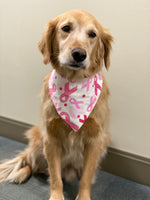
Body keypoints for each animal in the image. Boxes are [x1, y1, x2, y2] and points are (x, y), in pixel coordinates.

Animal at [0, 9, 112, 200]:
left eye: (93, 34)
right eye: (66, 28)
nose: (79, 54)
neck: (74, 83)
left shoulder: (95, 141)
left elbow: (86, 178)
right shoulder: (51, 139)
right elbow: (55, 176)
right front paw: (56, 196)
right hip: (38, 141)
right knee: (32, 164)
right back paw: (20, 174)